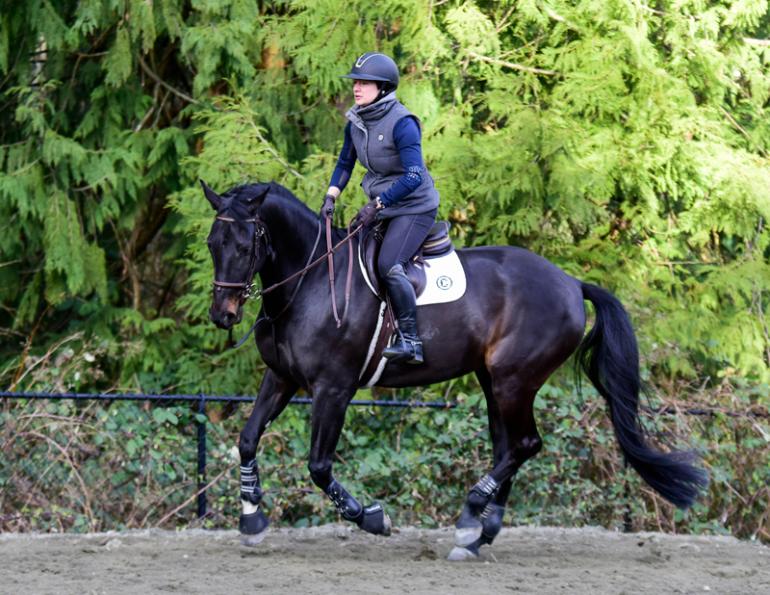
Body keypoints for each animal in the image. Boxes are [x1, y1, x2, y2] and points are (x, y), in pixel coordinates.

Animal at [201, 180, 708, 560]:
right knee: (510, 446)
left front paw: (372, 518)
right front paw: (252, 519)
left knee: (524, 444)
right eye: (212, 243)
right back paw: (481, 532)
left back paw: (470, 518)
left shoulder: (333, 389)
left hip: (514, 380)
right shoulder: (282, 378)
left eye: (246, 244)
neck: (308, 282)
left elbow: (319, 467)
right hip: (493, 381)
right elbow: (247, 439)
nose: (223, 316)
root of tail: (570, 282)